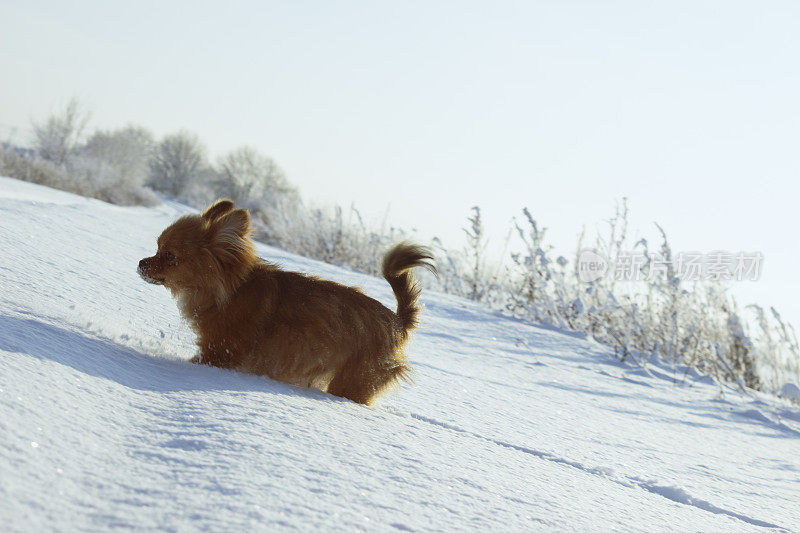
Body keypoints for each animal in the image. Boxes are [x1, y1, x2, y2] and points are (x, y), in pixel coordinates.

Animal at [139, 198, 438, 404]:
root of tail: (398, 322)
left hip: (352, 381)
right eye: (157, 247)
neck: (231, 292)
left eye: (169, 255)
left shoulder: (220, 352)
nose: (141, 263)